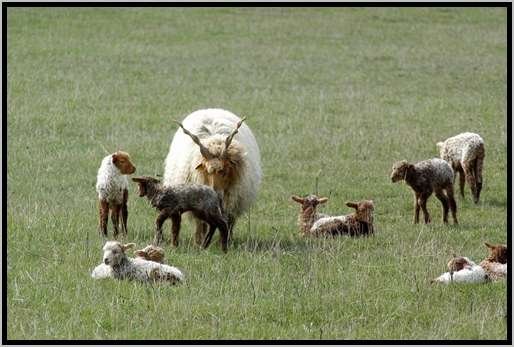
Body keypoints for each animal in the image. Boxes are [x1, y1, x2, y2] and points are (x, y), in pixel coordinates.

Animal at [163, 109, 260, 245]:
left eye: (224, 170)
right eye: (207, 171)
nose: (216, 193)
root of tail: (211, 109)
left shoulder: (230, 202)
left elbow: (227, 223)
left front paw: (225, 242)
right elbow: (200, 223)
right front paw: (199, 242)